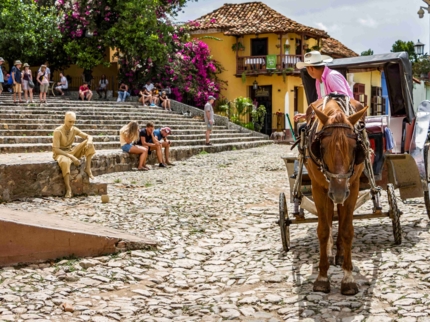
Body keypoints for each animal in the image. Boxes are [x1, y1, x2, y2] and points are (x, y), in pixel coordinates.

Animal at [306, 97, 370, 296]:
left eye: (354, 148)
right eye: (322, 146)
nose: (339, 192)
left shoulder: (353, 188)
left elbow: (347, 230)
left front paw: (348, 279)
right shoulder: (318, 188)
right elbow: (323, 230)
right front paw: (322, 277)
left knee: (340, 221)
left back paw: (340, 255)